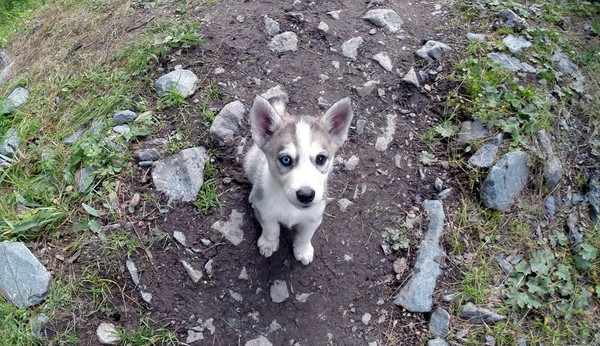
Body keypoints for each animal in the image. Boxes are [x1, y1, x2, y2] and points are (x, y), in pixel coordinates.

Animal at [243, 96, 352, 264]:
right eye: (286, 159)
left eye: (321, 159)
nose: (306, 195)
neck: (290, 208)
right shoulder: (265, 211)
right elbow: (271, 228)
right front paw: (269, 243)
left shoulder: (314, 218)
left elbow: (304, 236)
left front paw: (303, 250)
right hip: (250, 163)